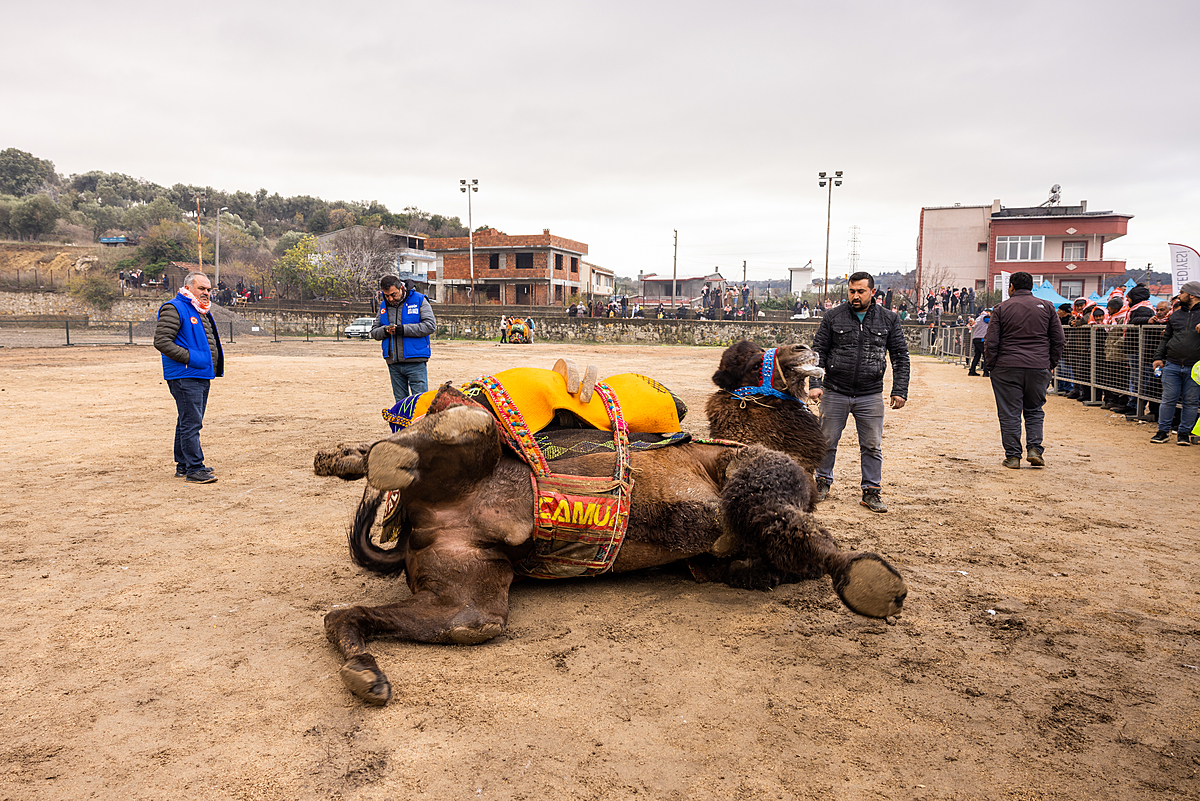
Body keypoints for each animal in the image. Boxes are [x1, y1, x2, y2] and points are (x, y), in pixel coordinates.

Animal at [314, 340, 902, 705]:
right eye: (757, 355)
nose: (808, 349)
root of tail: (419, 524)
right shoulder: (751, 474)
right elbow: (782, 520)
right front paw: (873, 582)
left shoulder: (718, 558)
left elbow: (764, 550)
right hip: (468, 468)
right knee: (465, 420)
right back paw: (363, 454)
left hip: (468, 594)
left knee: (382, 616)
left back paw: (366, 674)